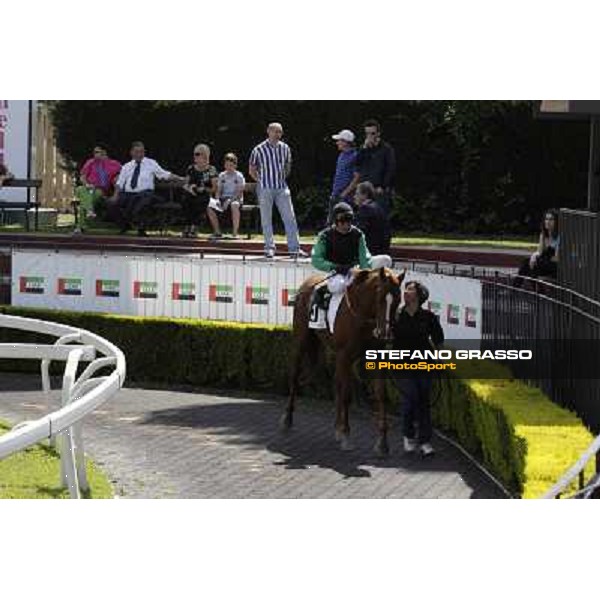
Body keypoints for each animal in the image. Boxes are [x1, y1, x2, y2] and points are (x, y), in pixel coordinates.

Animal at [282, 268, 406, 454]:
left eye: (398, 299)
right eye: (380, 297)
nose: (385, 334)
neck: (361, 314)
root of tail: (307, 284)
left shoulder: (374, 357)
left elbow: (381, 395)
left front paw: (382, 442)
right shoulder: (345, 355)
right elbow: (347, 395)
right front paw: (346, 434)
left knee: (337, 383)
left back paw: (336, 427)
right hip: (301, 340)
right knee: (295, 376)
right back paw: (288, 419)